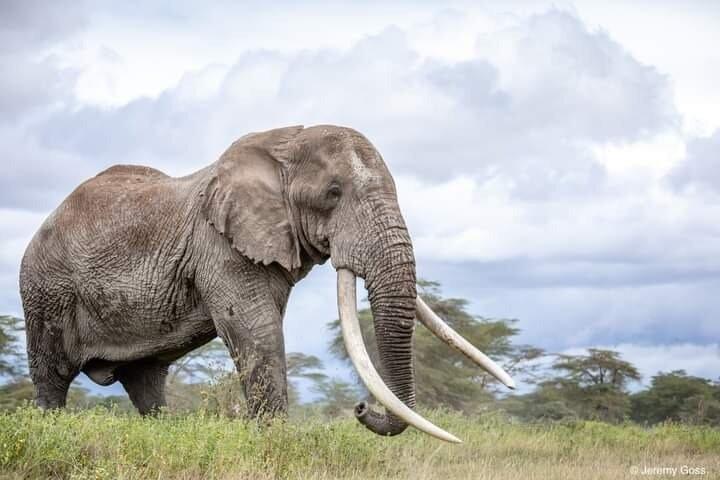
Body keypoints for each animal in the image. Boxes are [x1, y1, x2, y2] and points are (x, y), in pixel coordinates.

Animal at [19, 125, 514, 442]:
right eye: (333, 194)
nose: (360, 408)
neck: (284, 142)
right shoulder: (218, 244)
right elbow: (257, 331)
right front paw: (274, 445)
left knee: (146, 384)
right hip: (45, 291)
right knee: (53, 377)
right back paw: (48, 430)